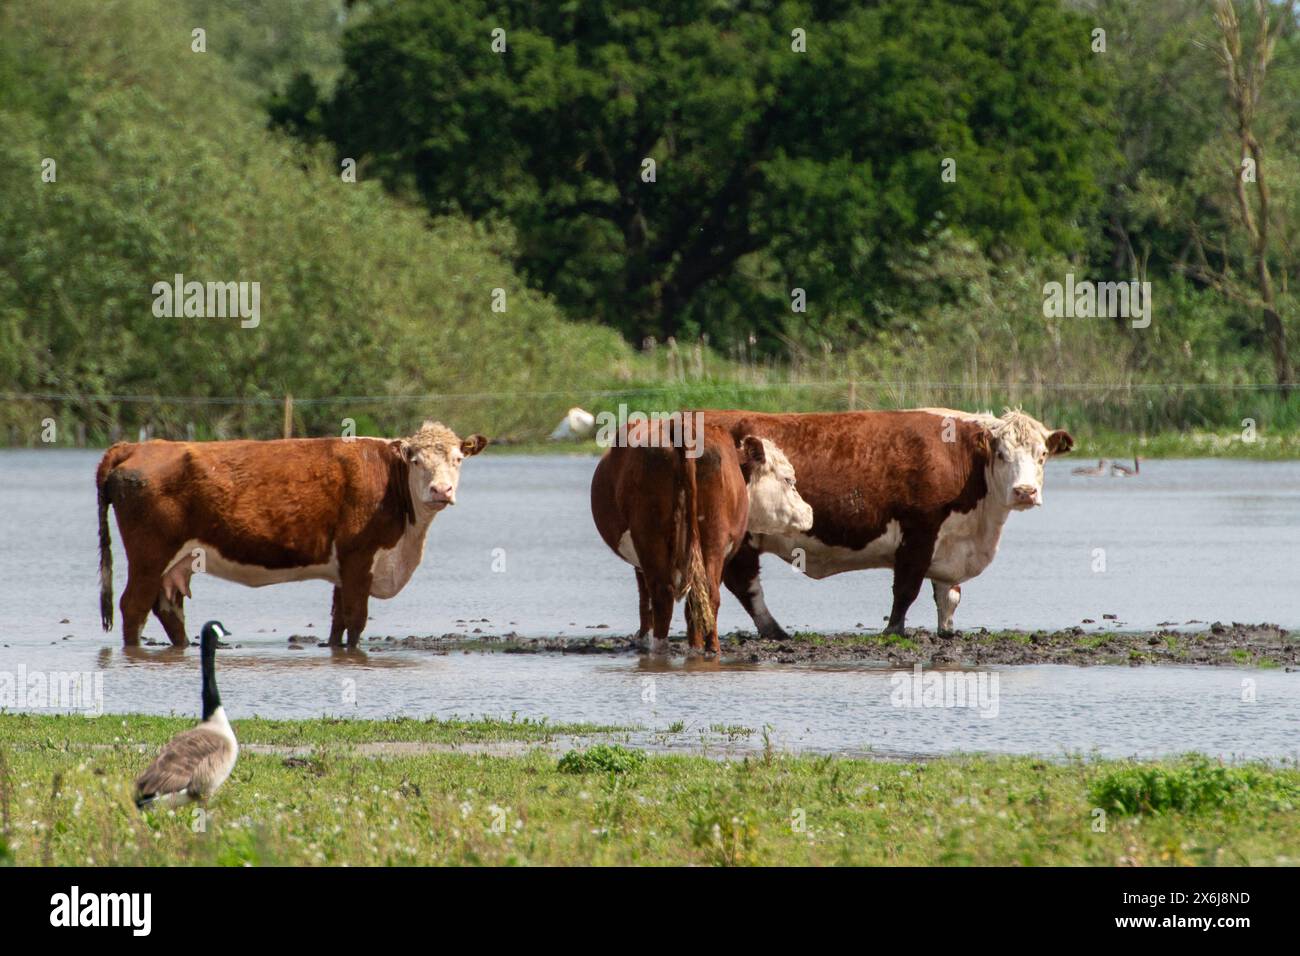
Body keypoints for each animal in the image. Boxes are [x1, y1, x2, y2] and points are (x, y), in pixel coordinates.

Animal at [97, 421, 488, 647]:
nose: (441, 490)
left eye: (458, 459)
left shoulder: (343, 568)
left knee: (168, 608)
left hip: (175, 562)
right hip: (149, 555)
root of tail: (137, 446)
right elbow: (356, 620)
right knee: (133, 607)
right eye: (416, 461)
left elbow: (338, 621)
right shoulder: (359, 557)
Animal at [592, 421, 811, 655]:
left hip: (654, 539)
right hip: (708, 539)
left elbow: (651, 599)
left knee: (666, 596)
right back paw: (705, 649)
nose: (809, 511)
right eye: (788, 480)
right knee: (701, 595)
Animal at [702, 405, 1076, 634]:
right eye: (1001, 454)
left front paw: (946, 632)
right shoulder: (919, 531)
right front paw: (894, 630)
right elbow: (906, 589)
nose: (1025, 491)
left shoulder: (950, 542)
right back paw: (776, 632)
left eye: (1042, 455)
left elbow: (948, 596)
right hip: (742, 536)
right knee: (746, 584)